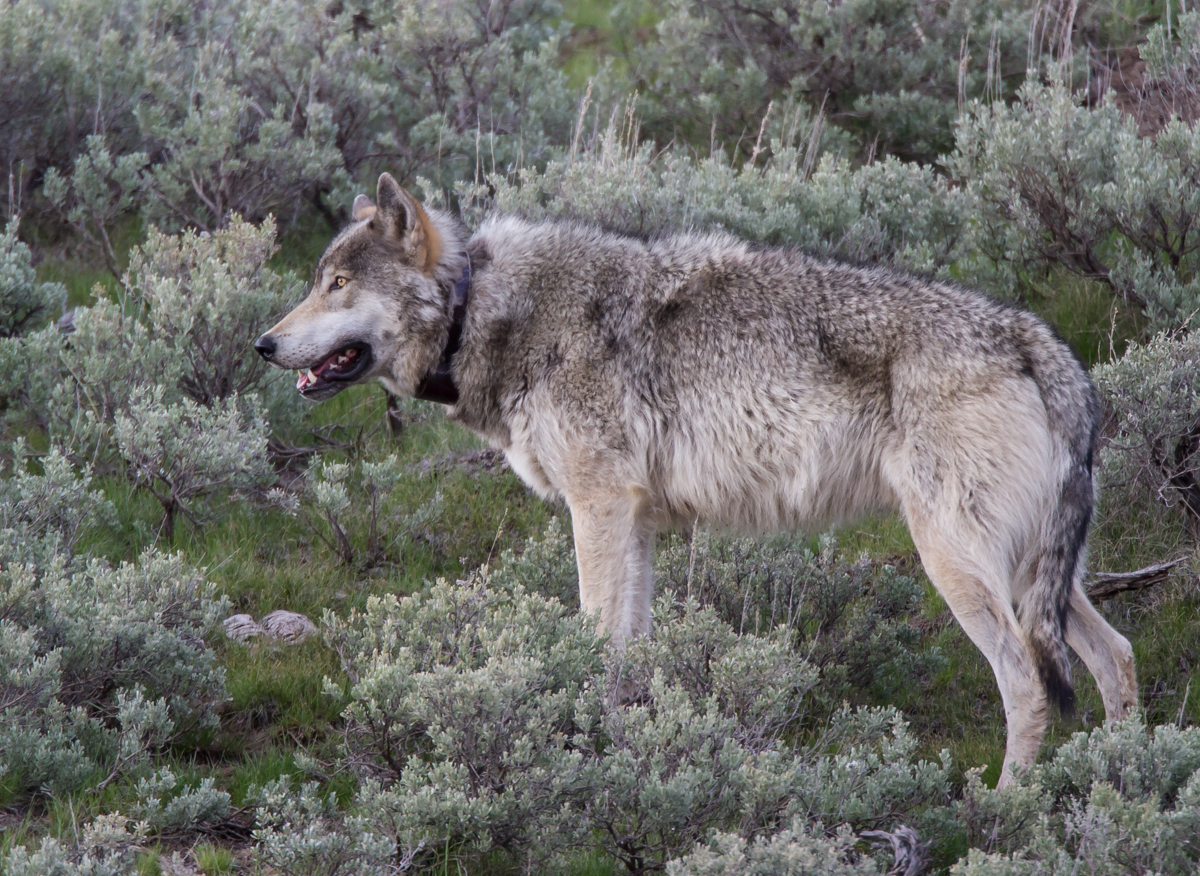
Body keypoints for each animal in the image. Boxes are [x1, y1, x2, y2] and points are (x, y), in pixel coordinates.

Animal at [256, 172, 1138, 787]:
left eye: (338, 285)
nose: (264, 343)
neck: (488, 313)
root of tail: (1038, 341)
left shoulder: (598, 510)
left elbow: (595, 645)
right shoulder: (635, 523)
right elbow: (635, 653)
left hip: (959, 566)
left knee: (1027, 682)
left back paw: (1005, 807)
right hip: (1032, 575)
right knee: (1118, 655)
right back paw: (1126, 780)